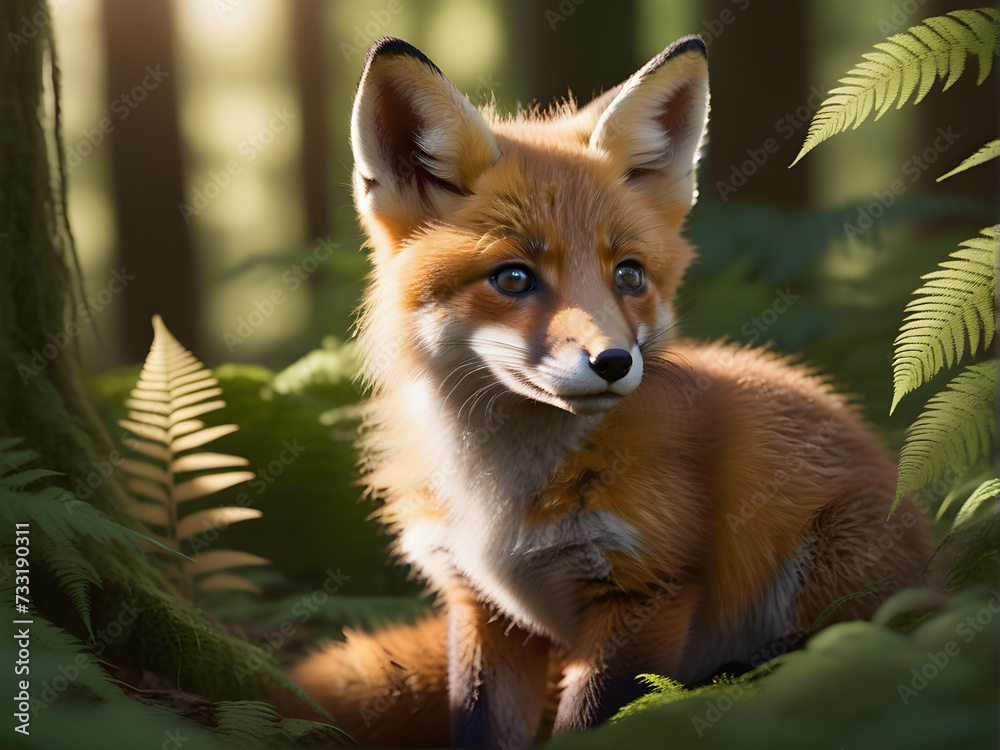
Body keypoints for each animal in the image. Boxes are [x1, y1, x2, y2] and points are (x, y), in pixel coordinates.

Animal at [284, 35, 934, 747]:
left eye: (629, 275)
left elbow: (591, 725)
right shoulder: (482, 607)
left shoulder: (645, 591)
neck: (501, 494)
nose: (615, 362)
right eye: (513, 278)